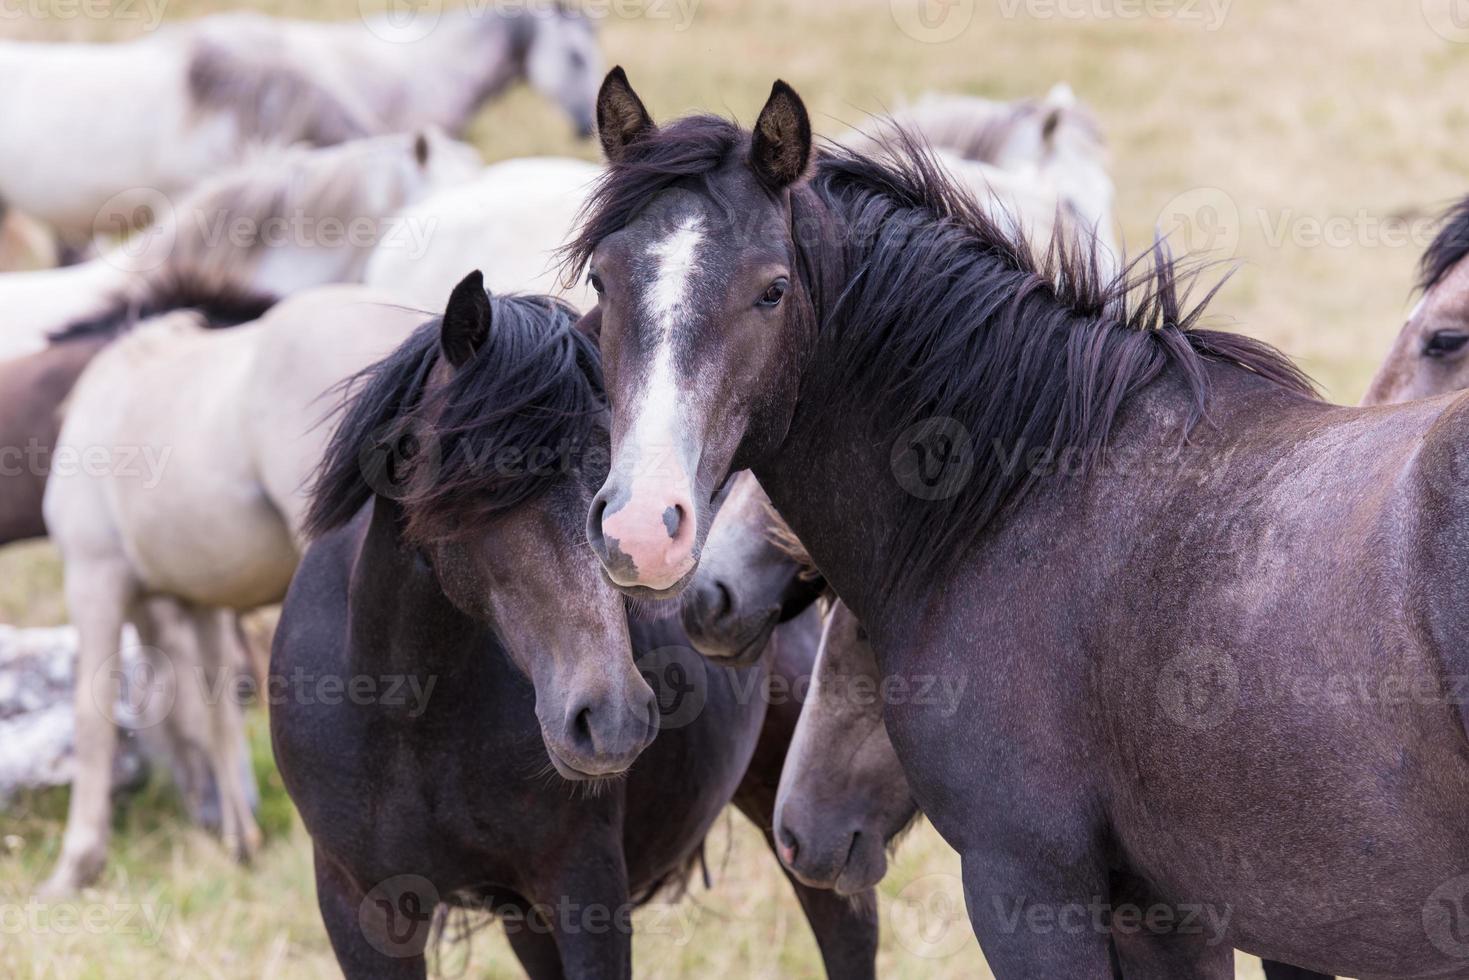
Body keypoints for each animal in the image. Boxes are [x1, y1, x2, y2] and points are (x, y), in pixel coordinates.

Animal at [569, 67, 1469, 975]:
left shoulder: (1025, 886)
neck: (1021, 502)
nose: (644, 526)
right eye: (601, 283)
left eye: (771, 290)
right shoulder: (1168, 915)